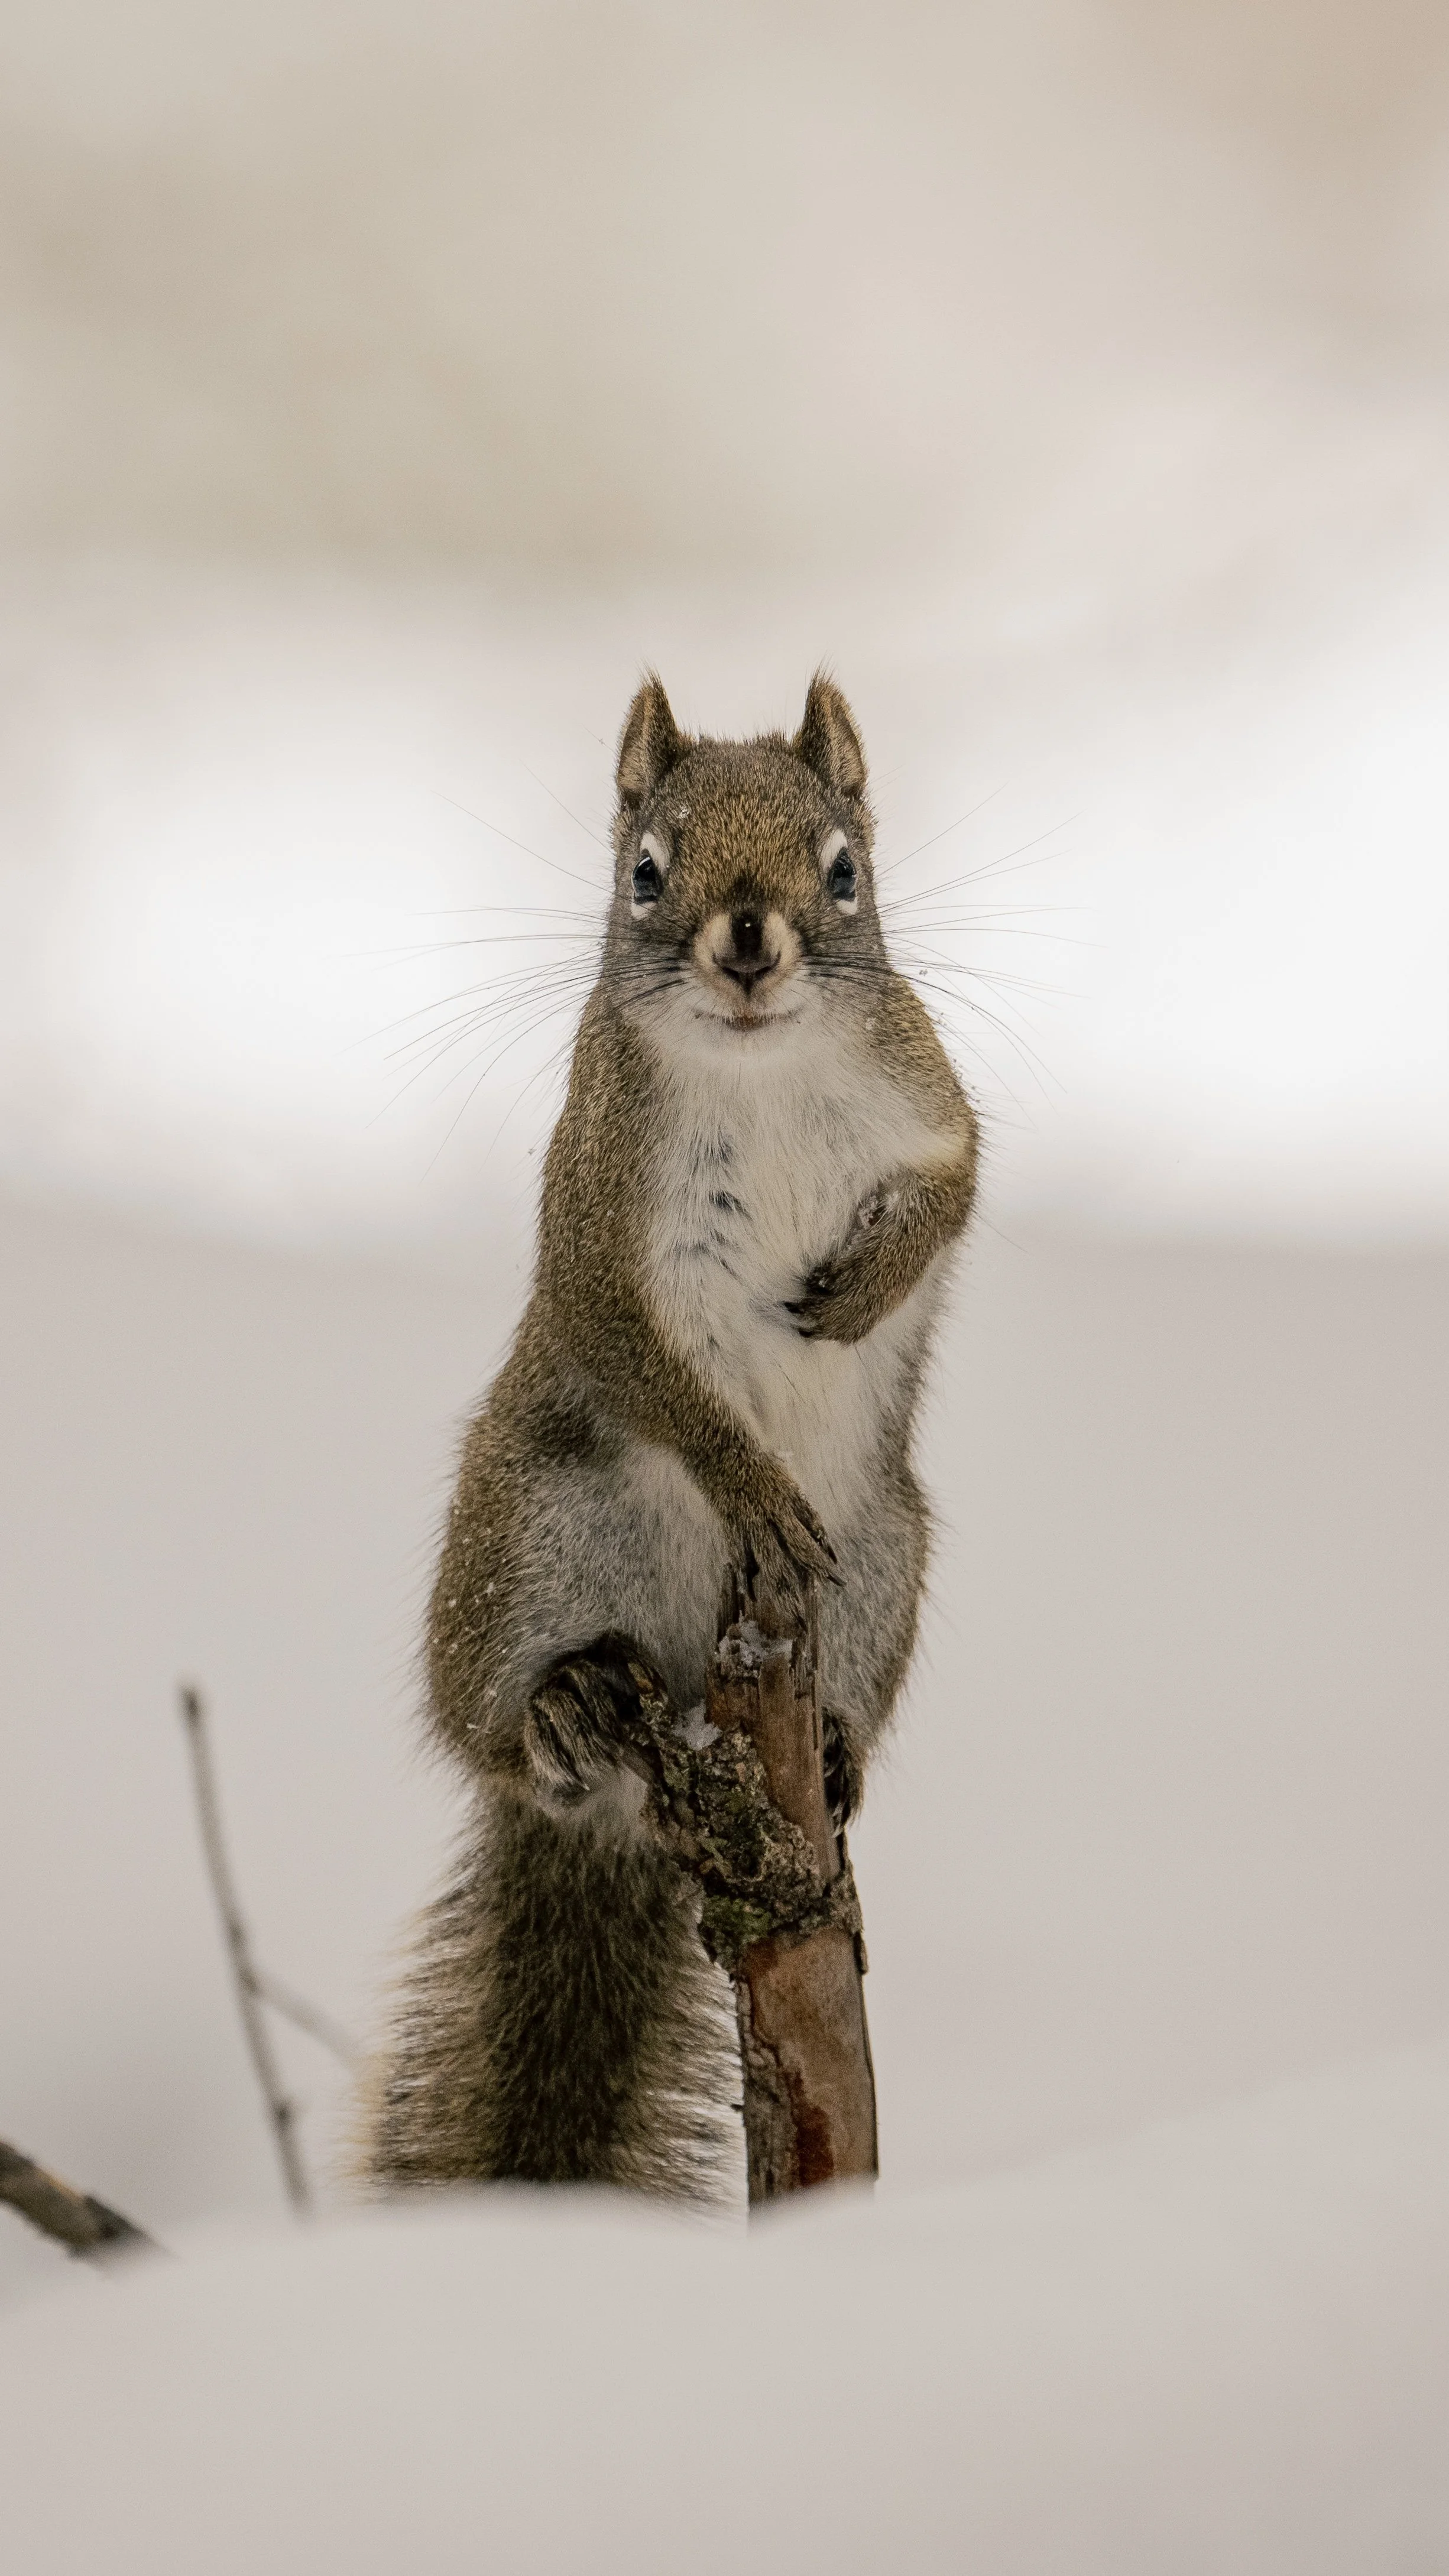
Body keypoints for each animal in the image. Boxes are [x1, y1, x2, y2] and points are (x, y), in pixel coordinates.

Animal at [366, 674, 977, 2197]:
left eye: (842, 867)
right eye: (645, 869)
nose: (748, 945)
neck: (759, 1067)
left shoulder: (932, 1104)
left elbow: (956, 1187)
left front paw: (869, 1284)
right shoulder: (596, 1215)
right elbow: (649, 1365)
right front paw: (748, 1479)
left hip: (883, 1567)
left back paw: (830, 1753)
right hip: (524, 1537)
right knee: (500, 1736)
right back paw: (565, 1709)